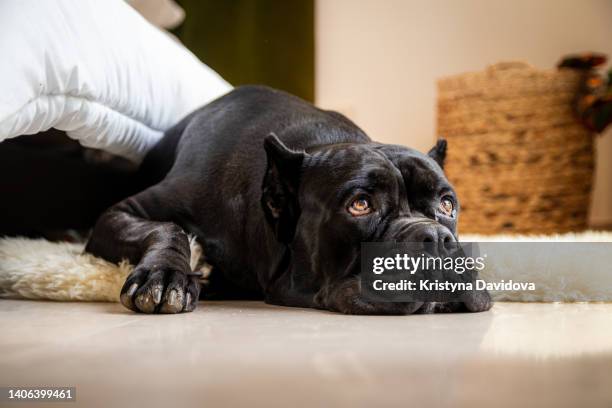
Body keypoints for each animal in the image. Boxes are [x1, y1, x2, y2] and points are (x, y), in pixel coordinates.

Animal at [83, 85, 490, 316]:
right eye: (360, 204)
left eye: (447, 204)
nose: (435, 237)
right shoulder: (121, 213)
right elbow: (167, 229)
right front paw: (167, 276)